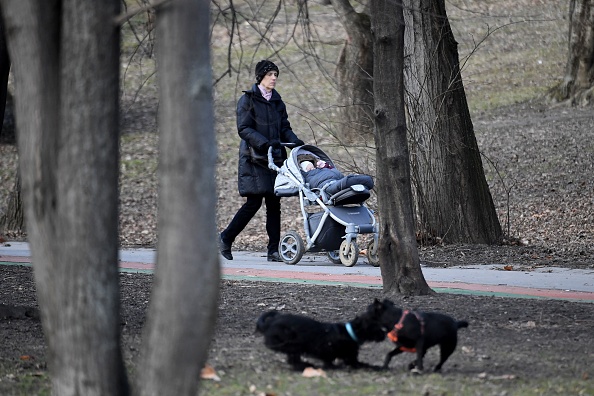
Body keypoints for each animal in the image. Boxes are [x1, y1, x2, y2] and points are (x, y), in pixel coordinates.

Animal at [254, 308, 384, 370]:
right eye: (376, 326)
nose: (384, 335)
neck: (350, 331)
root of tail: (270, 322)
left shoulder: (348, 358)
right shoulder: (350, 359)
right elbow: (365, 365)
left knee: (292, 358)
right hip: (289, 342)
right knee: (290, 352)